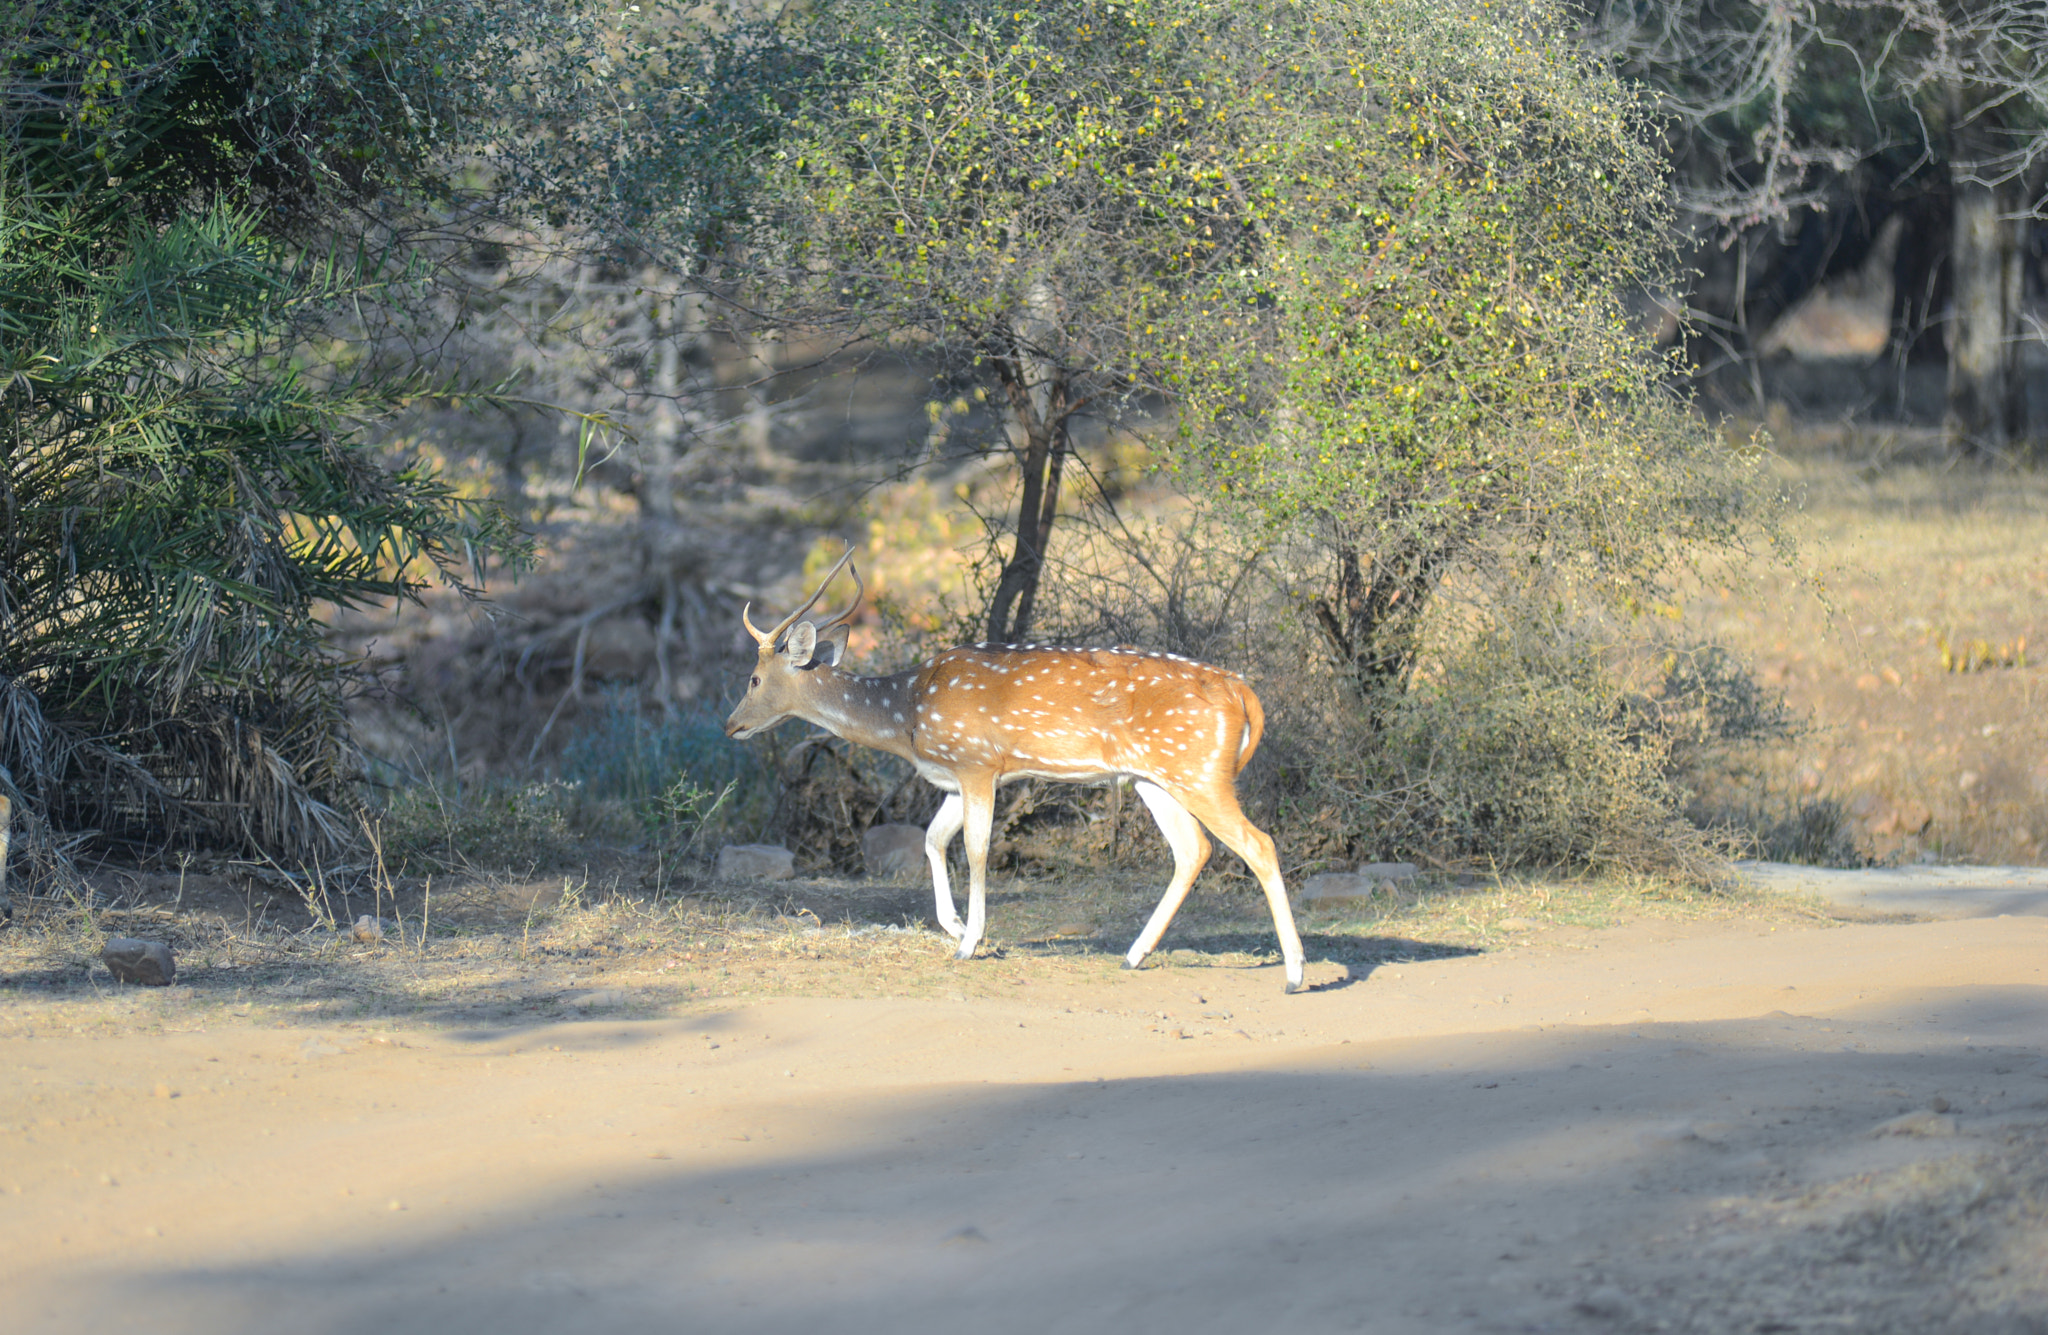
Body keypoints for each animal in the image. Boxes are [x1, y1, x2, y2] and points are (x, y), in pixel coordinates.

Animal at [720, 540, 1302, 991]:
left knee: (1258, 844)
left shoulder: (978, 762)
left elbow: (977, 849)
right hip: (1153, 777)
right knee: (1192, 849)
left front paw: (970, 942)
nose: (730, 726)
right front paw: (956, 928)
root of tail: (1244, 694)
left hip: (1201, 771)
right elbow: (932, 840)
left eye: (753, 678)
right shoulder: (954, 775)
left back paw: (1295, 973)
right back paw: (1134, 954)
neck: (908, 716)